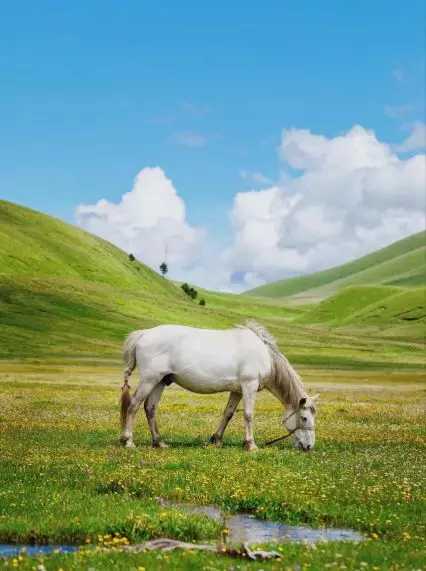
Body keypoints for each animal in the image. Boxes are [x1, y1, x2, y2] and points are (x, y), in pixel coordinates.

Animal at [118, 322, 318, 452]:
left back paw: (158, 442)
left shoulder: (237, 391)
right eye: (304, 418)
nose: (309, 446)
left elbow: (228, 413)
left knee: (150, 408)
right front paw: (251, 444)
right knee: (133, 406)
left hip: (160, 381)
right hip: (149, 379)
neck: (264, 355)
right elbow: (248, 415)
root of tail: (144, 334)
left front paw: (216, 439)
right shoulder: (249, 386)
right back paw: (128, 441)